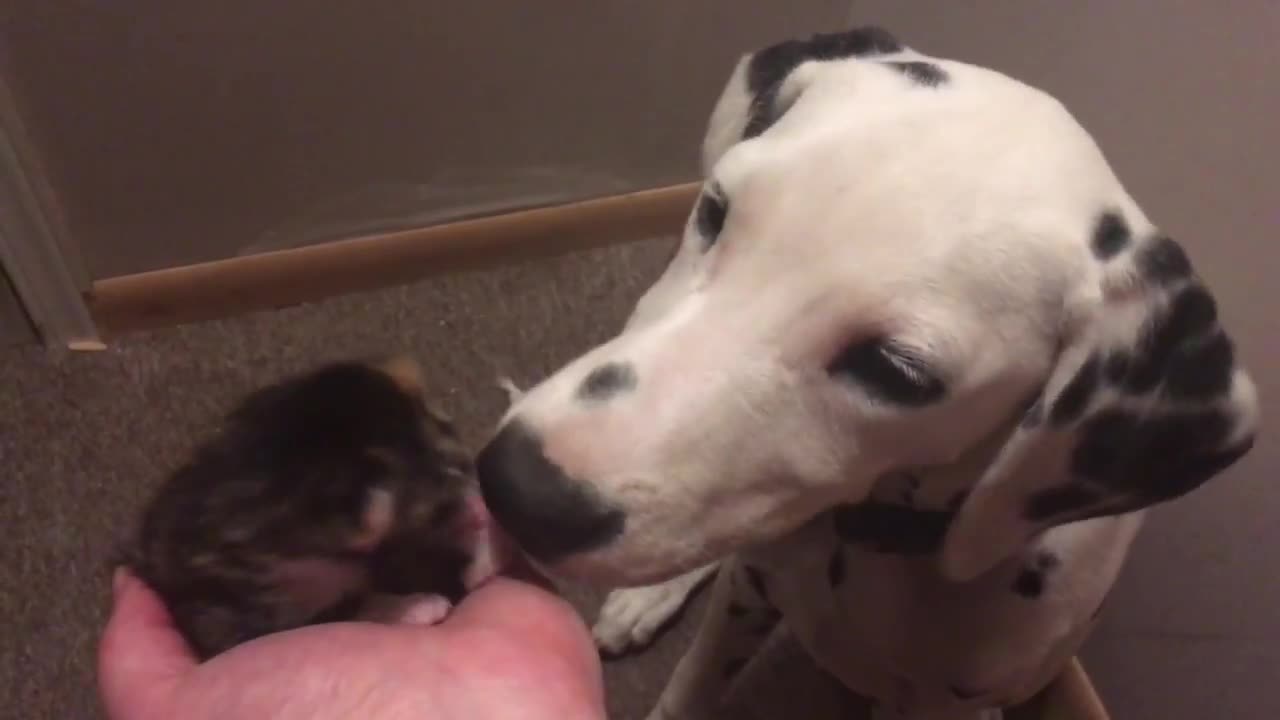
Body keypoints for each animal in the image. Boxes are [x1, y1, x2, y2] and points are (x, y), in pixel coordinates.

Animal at [120, 353, 499, 655]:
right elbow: (353, 609)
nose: (480, 506)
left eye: (462, 458)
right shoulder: (238, 614)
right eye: (436, 510)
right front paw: (417, 606)